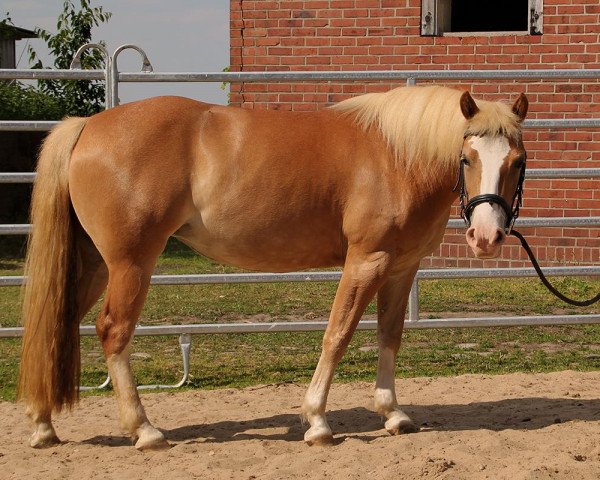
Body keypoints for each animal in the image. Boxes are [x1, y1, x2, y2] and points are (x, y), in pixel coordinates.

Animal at [18, 85, 528, 450]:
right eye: (467, 157)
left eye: (518, 162)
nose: (486, 237)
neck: (397, 156)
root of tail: (88, 127)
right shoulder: (367, 261)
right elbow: (338, 333)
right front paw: (317, 421)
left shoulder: (402, 268)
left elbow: (389, 337)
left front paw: (393, 414)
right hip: (130, 264)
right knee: (113, 331)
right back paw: (144, 430)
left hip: (93, 264)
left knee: (57, 322)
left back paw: (44, 426)